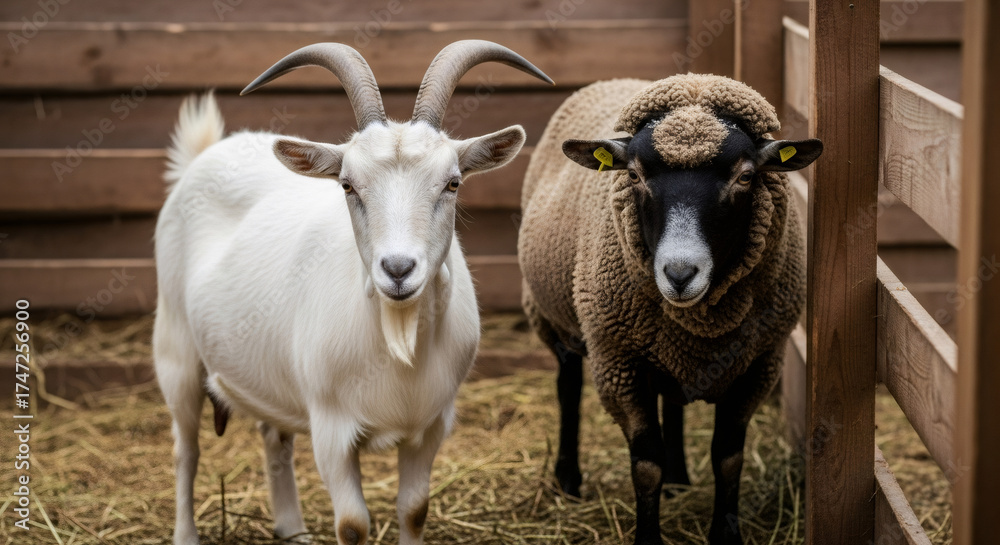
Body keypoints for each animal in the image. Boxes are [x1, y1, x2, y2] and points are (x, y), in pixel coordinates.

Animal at [154, 40, 552, 545]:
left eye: (453, 182)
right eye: (347, 185)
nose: (398, 269)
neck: (397, 338)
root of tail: (202, 155)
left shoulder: (431, 426)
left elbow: (415, 509)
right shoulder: (331, 430)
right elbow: (352, 525)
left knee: (274, 437)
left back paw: (293, 529)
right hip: (175, 348)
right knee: (185, 449)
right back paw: (187, 532)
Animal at [517, 74, 823, 545]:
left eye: (746, 176)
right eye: (635, 174)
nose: (679, 274)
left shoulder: (759, 363)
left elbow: (728, 457)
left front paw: (726, 534)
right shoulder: (619, 362)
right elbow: (646, 465)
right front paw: (648, 537)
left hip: (665, 347)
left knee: (673, 401)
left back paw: (679, 477)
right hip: (552, 317)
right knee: (568, 387)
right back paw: (567, 479)